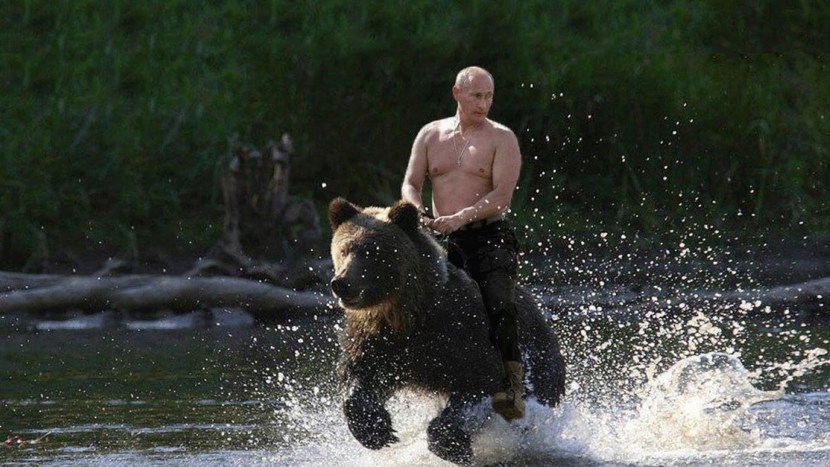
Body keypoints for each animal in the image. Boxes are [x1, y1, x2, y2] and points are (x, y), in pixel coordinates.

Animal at [328, 197, 566, 465]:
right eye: (344, 249)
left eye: (372, 252)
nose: (341, 283)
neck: (407, 313)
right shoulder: (379, 339)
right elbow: (362, 375)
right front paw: (377, 430)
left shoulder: (460, 333)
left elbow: (479, 380)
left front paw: (453, 446)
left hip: (537, 357)